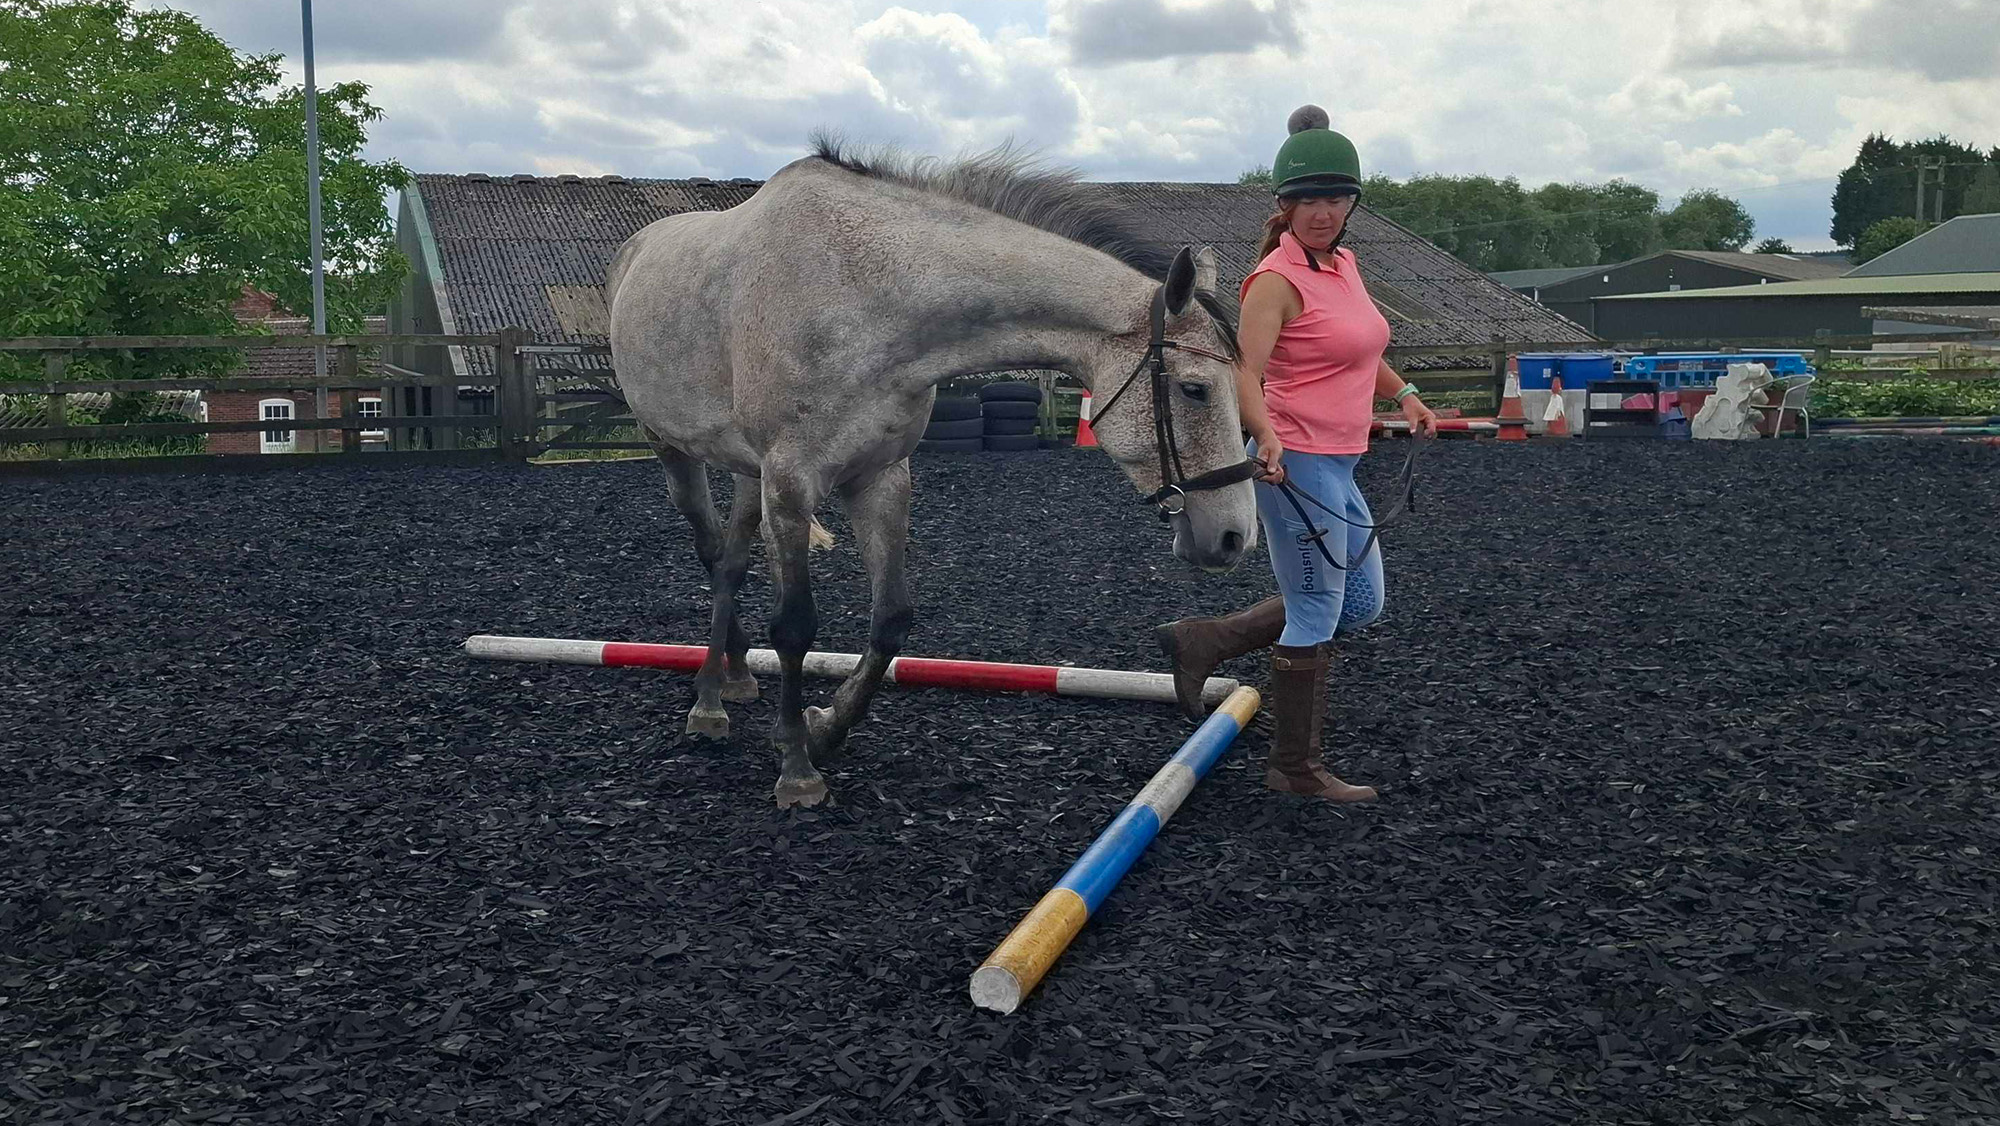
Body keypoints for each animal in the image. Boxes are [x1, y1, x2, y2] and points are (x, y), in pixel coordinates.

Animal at [605, 135, 1260, 807]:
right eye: (1194, 389)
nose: (1235, 536)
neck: (864, 296)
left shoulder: (881, 479)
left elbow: (892, 620)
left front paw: (825, 727)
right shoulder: (791, 483)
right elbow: (793, 626)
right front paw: (797, 766)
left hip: (744, 472)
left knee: (732, 563)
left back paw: (731, 680)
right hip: (674, 450)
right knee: (713, 556)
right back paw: (709, 704)